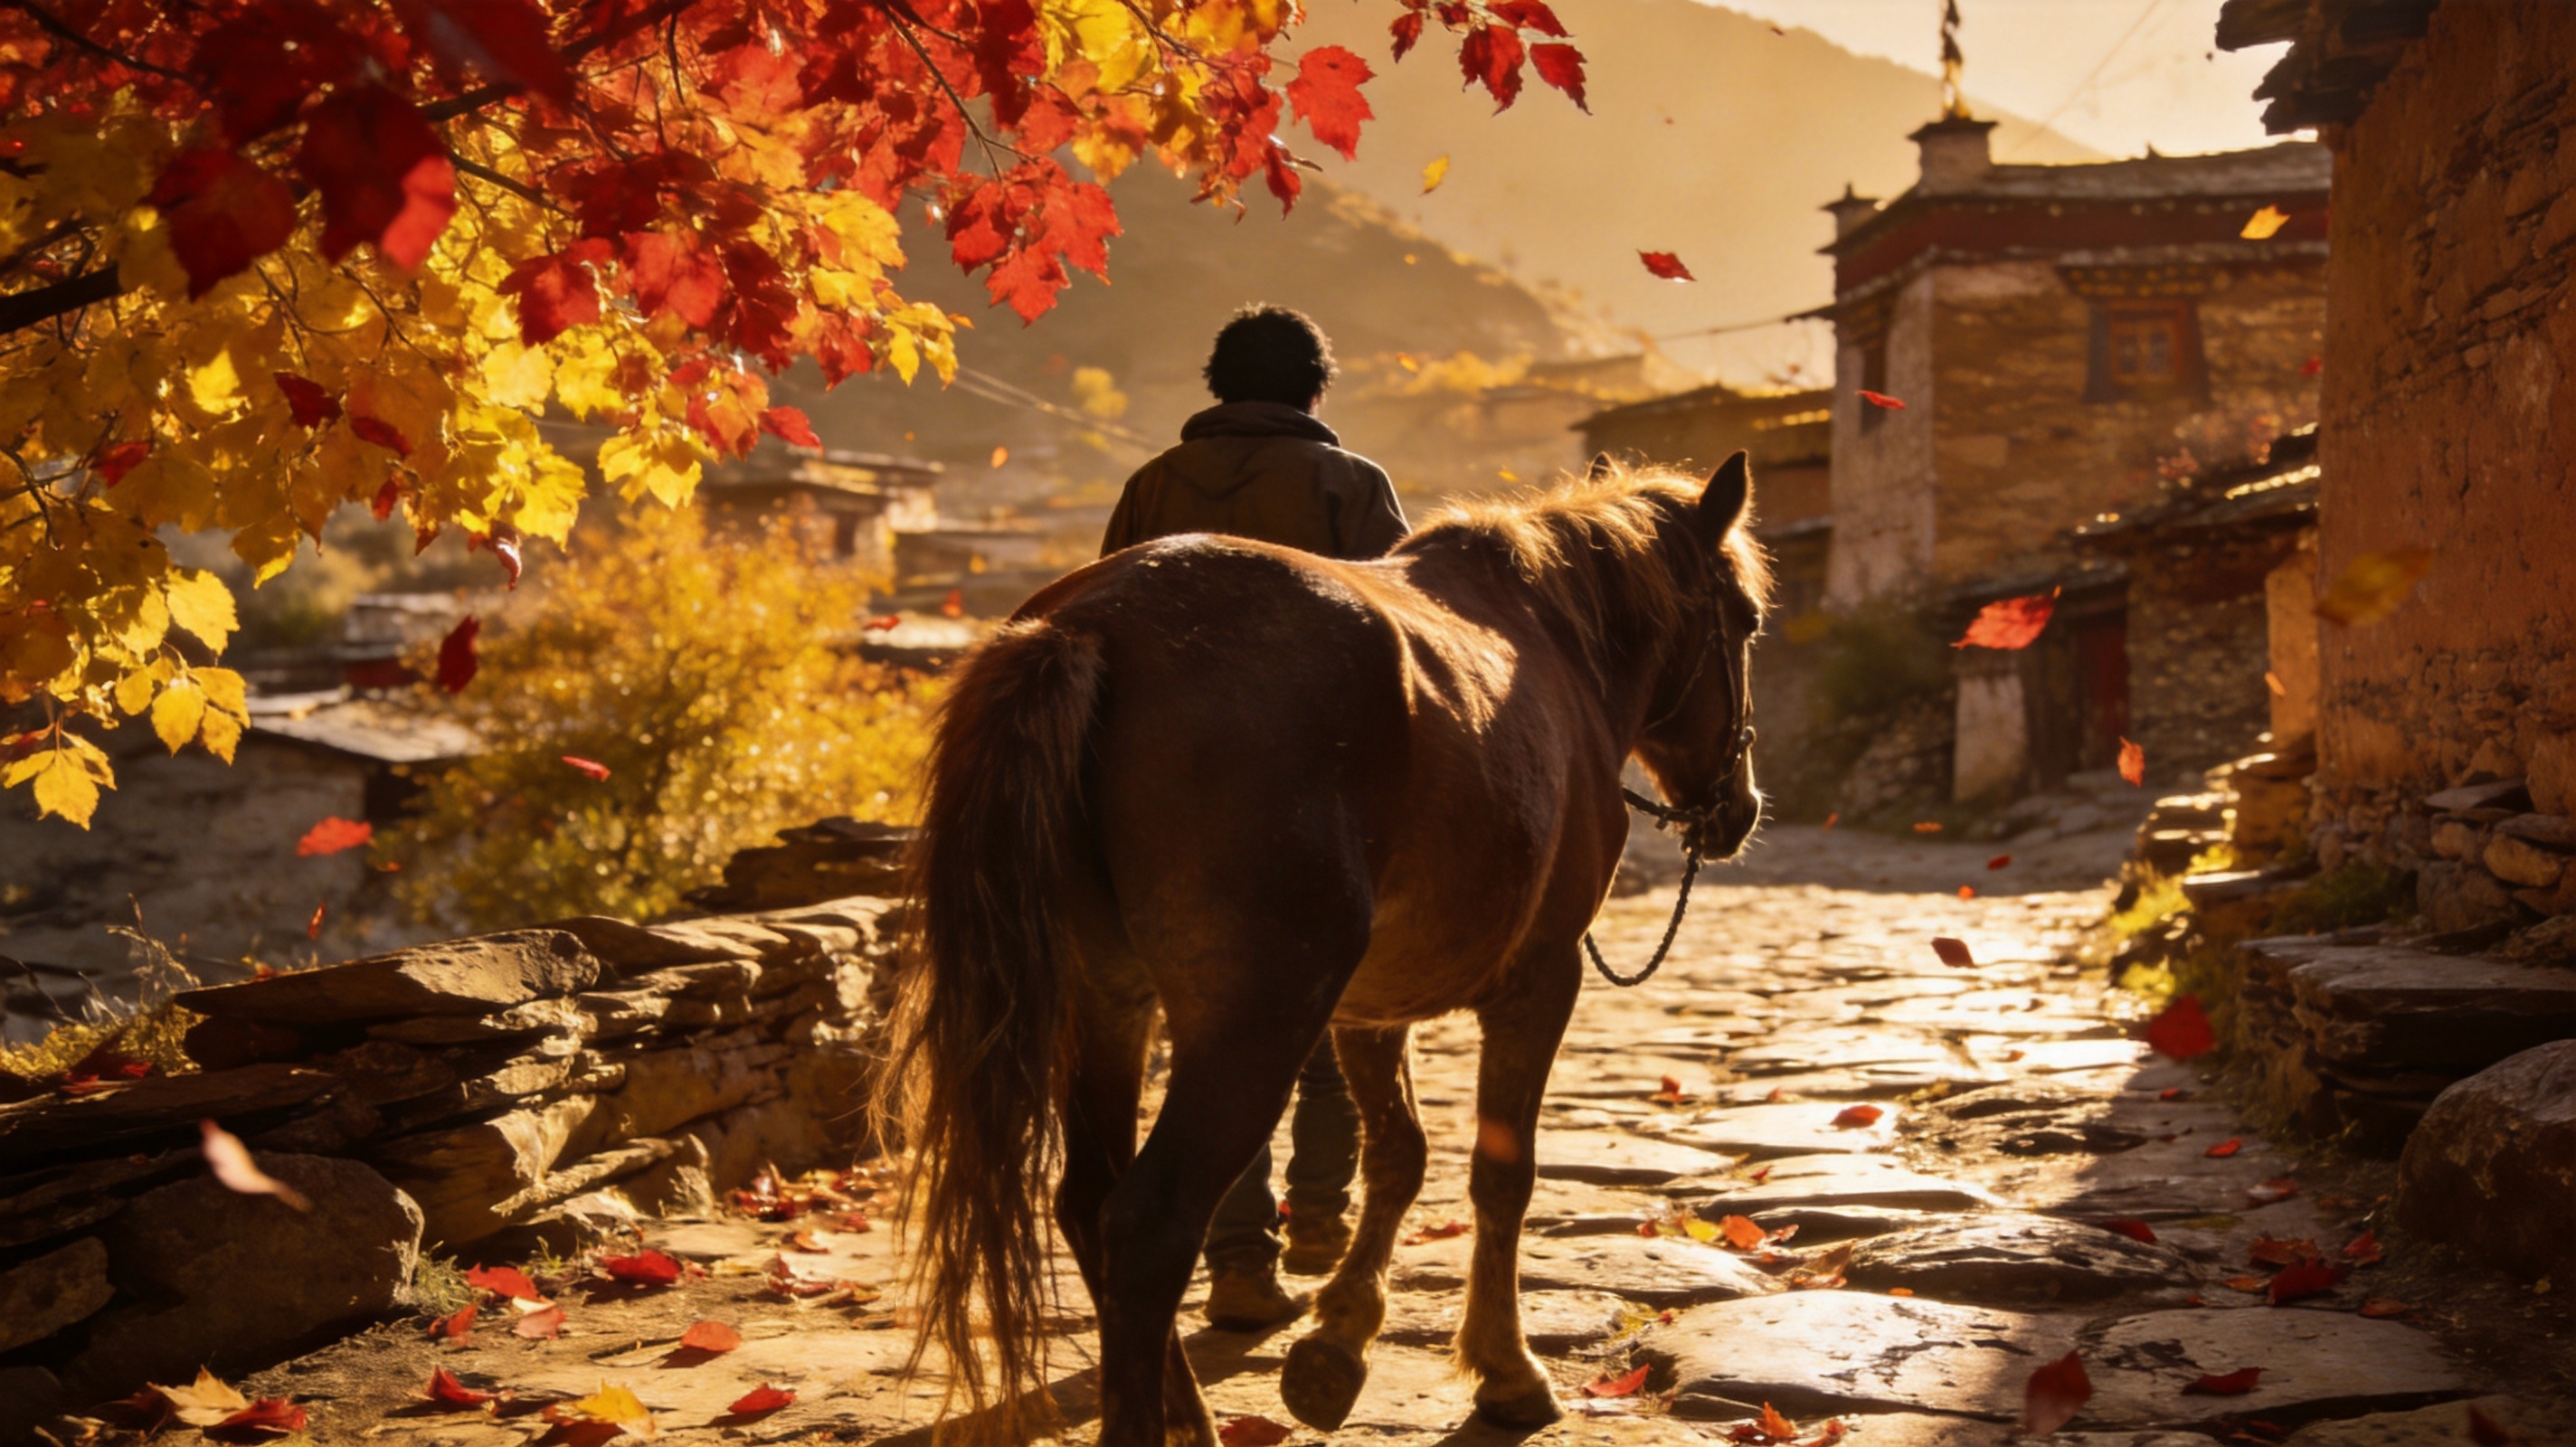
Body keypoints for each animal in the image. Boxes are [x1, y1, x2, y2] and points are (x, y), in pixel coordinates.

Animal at [884, 454, 1770, 1446]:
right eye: (1745, 619)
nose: (1737, 807)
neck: (1554, 644)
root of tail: (1086, 626)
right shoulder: (1541, 978)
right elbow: (1500, 1174)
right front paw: (1504, 1371)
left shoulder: (1370, 1007)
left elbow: (1398, 1155)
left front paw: (1337, 1343)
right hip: (1252, 1028)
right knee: (1150, 1222)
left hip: (1106, 1006)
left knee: (1087, 1203)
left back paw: (1186, 1407)